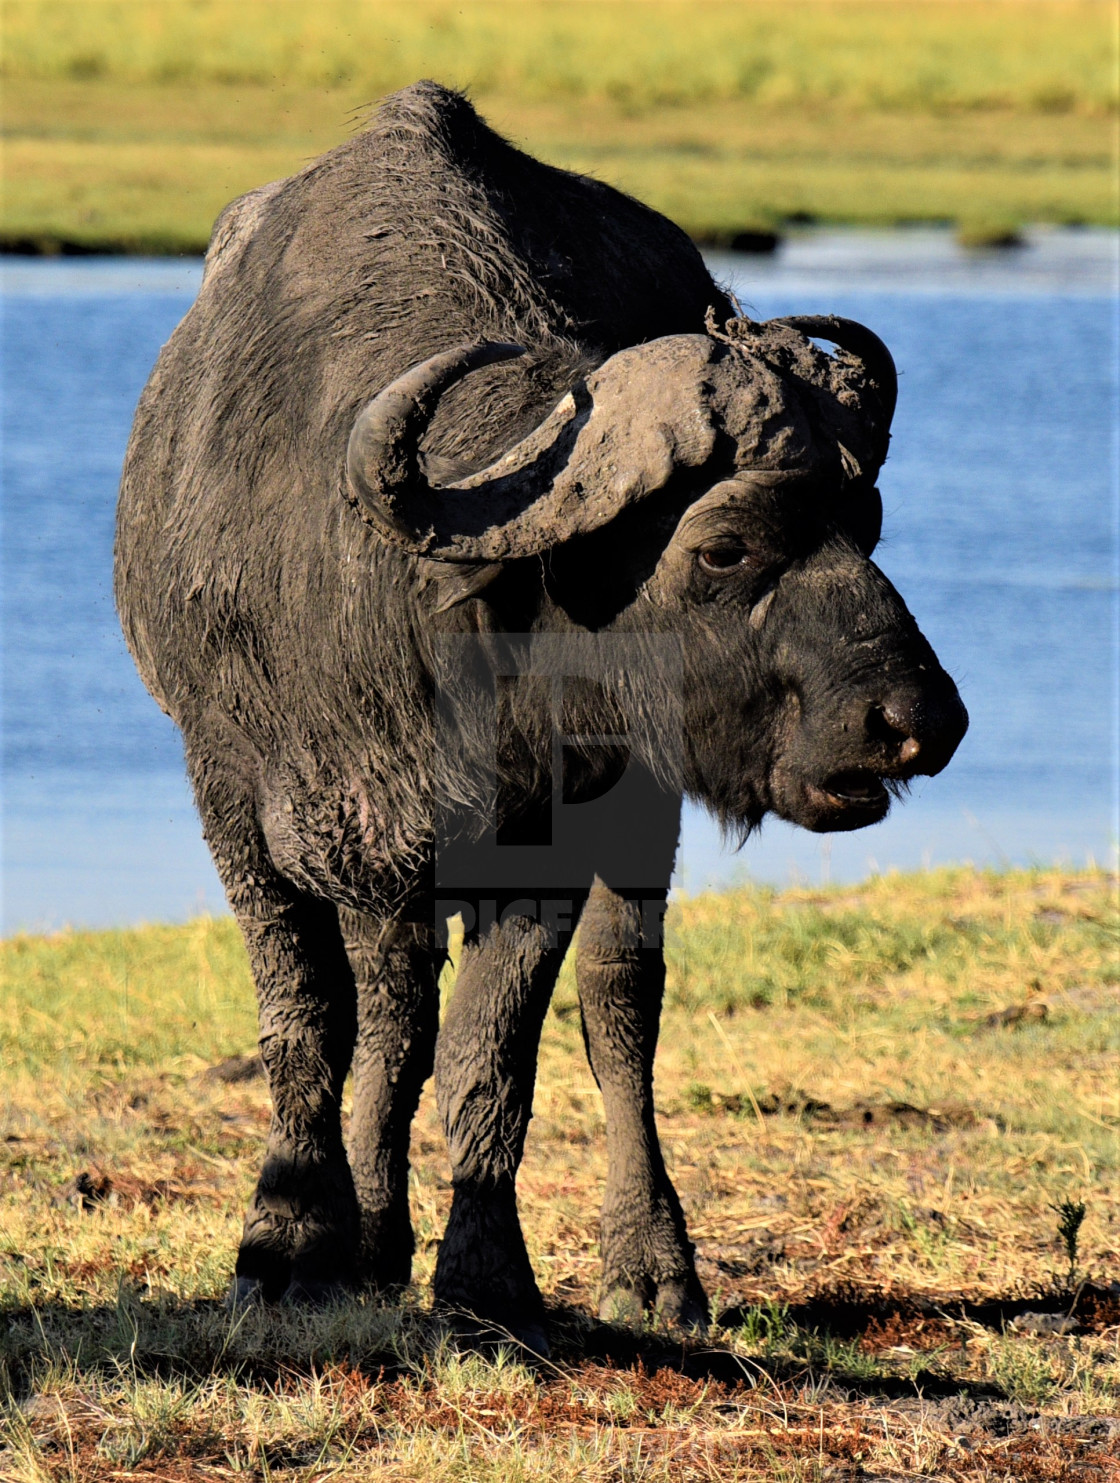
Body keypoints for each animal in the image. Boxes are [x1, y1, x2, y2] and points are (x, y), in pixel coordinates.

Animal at [117, 78, 967, 1358]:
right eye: (723, 547)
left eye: (862, 523)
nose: (916, 723)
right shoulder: (256, 800)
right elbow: (318, 1017)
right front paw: (289, 1247)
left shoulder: (548, 834)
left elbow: (493, 1051)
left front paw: (483, 1278)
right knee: (389, 1010)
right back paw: (367, 1237)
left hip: (638, 808)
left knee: (617, 1005)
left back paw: (650, 1266)